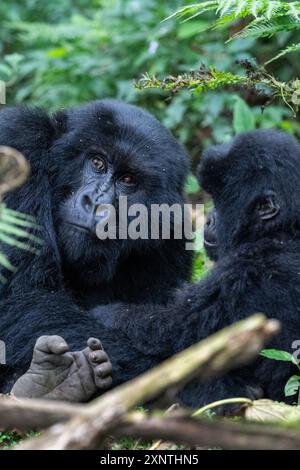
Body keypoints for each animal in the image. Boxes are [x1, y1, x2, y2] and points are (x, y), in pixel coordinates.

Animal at [0, 100, 191, 400]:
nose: (96, 202)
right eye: (97, 163)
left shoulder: (171, 231)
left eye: (127, 179)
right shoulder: (17, 142)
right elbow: (22, 298)